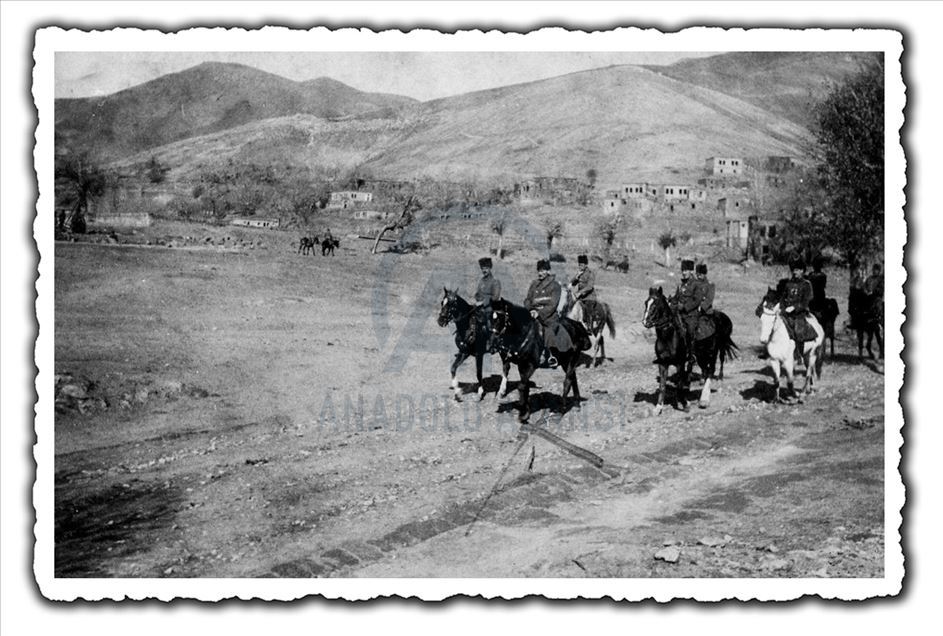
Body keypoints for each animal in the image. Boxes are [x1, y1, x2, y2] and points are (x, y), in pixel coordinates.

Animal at [640, 286, 736, 414]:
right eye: (646, 303)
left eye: (656, 304)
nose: (645, 322)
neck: (669, 335)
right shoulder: (663, 363)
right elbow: (662, 386)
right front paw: (658, 407)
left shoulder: (680, 363)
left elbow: (680, 386)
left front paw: (685, 404)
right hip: (701, 357)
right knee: (706, 371)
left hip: (712, 353)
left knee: (711, 371)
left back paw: (704, 399)